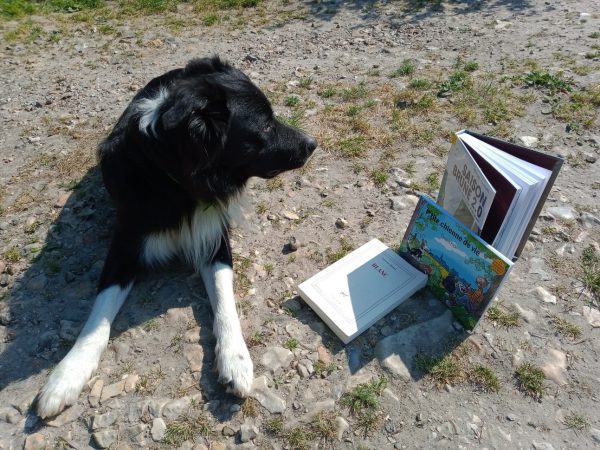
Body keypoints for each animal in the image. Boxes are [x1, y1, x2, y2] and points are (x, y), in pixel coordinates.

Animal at [36, 56, 318, 418]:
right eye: (266, 126)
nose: (312, 143)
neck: (178, 183)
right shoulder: (125, 246)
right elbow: (98, 315)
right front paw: (66, 375)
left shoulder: (214, 238)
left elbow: (224, 302)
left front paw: (235, 360)